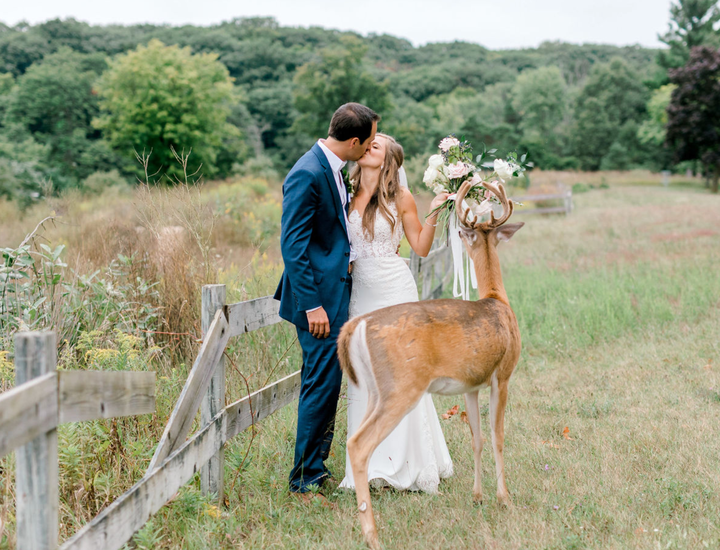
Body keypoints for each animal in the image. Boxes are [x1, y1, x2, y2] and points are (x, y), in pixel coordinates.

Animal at [338, 180, 524, 548]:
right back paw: (372, 535)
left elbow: (477, 439)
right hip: (402, 387)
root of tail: (357, 325)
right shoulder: (503, 374)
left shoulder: (471, 385)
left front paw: (478, 496)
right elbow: (498, 437)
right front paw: (505, 499)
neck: (497, 299)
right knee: (359, 445)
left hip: (375, 390)